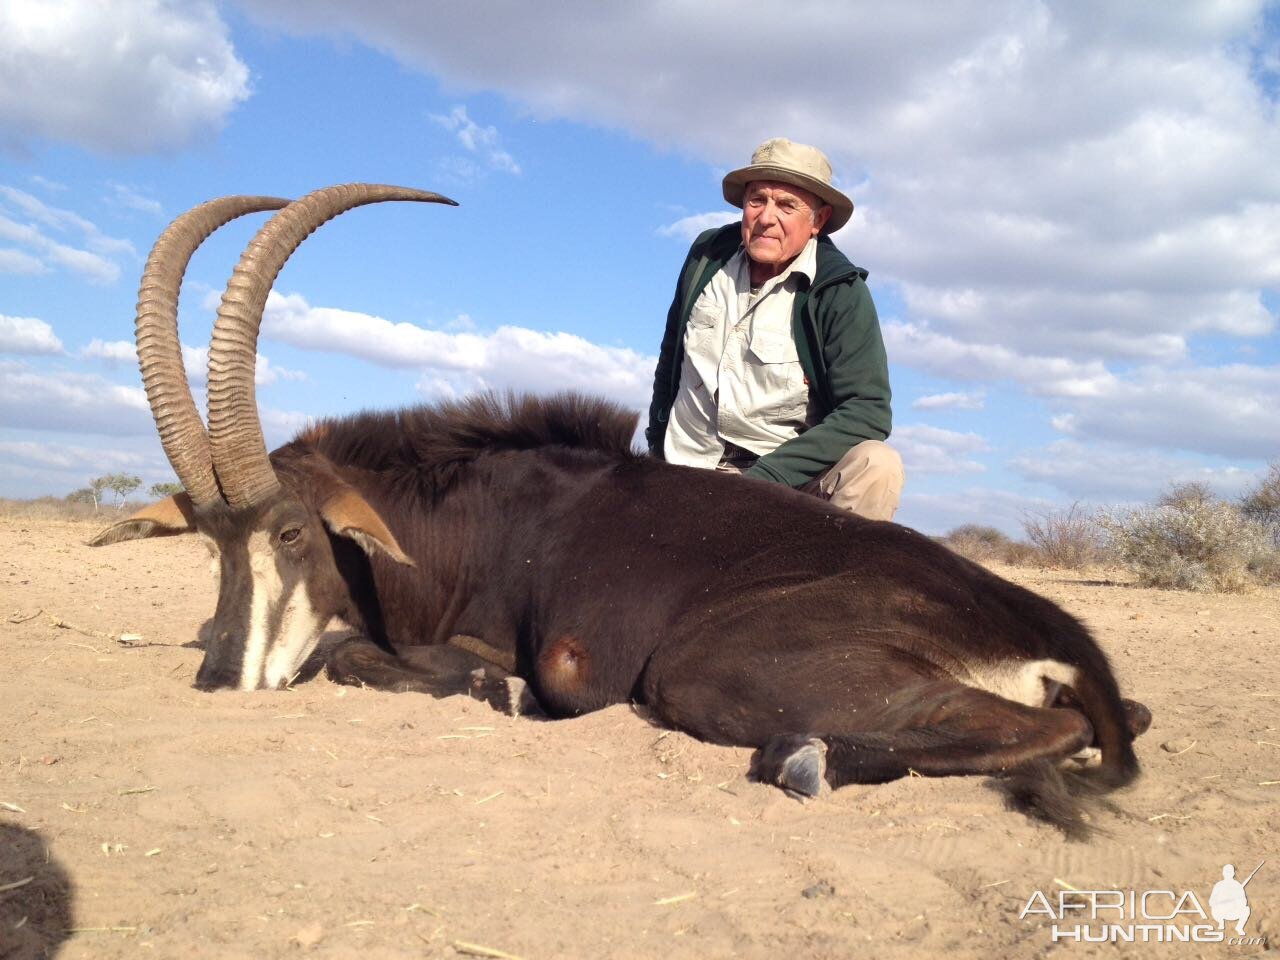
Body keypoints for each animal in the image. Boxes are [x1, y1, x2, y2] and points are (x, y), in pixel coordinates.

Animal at [90, 185, 1152, 834]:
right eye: (211, 546)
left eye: (291, 532)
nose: (218, 683)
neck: (478, 516)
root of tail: (1047, 624)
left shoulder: (558, 657)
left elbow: (366, 655)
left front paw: (492, 687)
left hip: (703, 665)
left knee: (1047, 732)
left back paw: (805, 758)